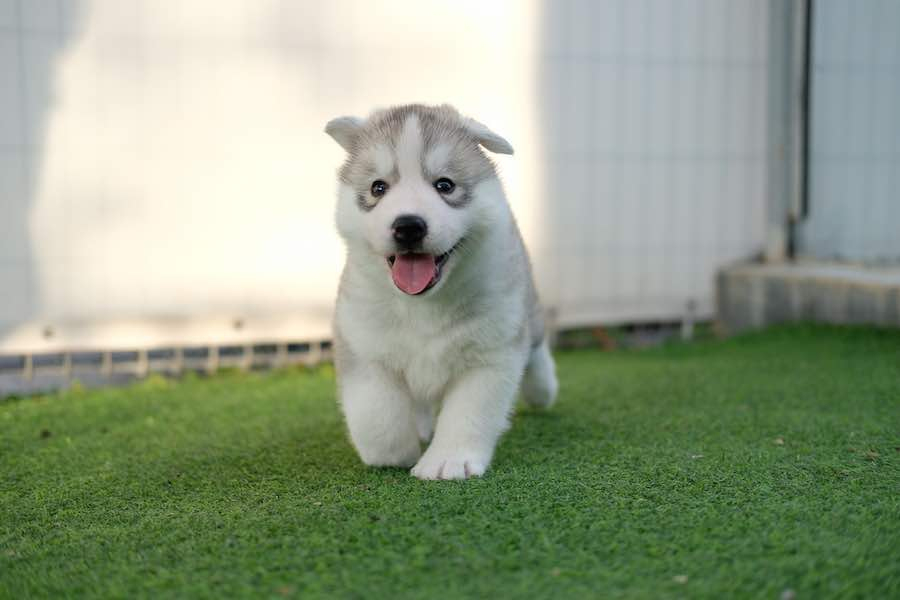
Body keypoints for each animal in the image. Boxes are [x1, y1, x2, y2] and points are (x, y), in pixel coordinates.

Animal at [326, 102, 560, 478]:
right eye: (378, 188)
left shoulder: (491, 352)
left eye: (445, 185)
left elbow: (469, 412)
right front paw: (393, 454)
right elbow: (376, 413)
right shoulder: (363, 341)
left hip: (528, 310)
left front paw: (448, 461)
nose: (408, 226)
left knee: (537, 348)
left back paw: (542, 390)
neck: (424, 305)